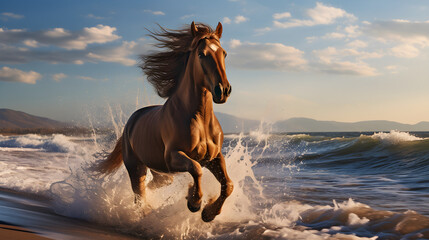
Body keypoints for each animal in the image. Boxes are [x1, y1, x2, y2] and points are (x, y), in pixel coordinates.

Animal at [95, 21, 232, 222]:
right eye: (201, 54)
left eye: (224, 53)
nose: (223, 90)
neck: (199, 119)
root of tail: (131, 122)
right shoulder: (173, 156)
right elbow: (196, 169)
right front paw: (194, 202)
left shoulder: (214, 157)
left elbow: (228, 185)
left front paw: (209, 213)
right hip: (136, 168)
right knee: (139, 195)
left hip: (159, 171)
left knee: (155, 185)